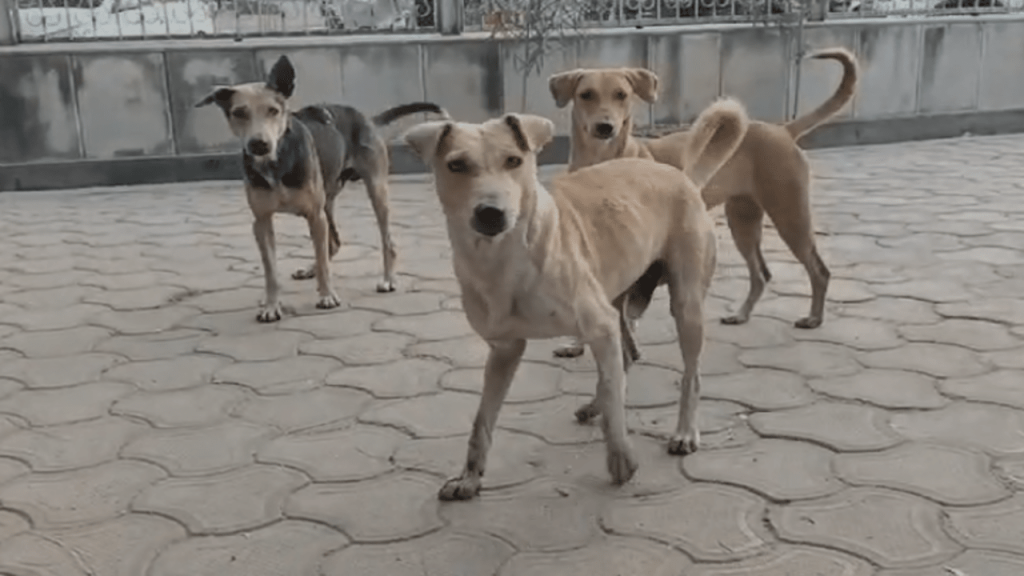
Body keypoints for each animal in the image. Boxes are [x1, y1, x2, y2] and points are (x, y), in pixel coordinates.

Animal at [197, 53, 446, 319]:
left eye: (273, 111)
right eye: (239, 112)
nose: (259, 144)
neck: (277, 162)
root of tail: (365, 118)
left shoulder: (314, 215)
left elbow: (325, 262)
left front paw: (327, 296)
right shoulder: (262, 222)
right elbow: (271, 271)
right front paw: (271, 306)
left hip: (374, 191)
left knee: (386, 241)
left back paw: (388, 279)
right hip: (327, 201)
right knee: (333, 244)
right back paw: (311, 269)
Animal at [403, 98, 749, 498]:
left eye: (513, 161)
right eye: (456, 165)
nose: (491, 213)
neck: (504, 260)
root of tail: (683, 178)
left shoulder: (598, 324)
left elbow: (616, 403)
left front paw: (620, 459)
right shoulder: (504, 349)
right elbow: (482, 420)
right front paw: (470, 477)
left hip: (685, 304)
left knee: (687, 375)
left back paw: (684, 432)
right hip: (617, 300)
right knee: (625, 357)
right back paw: (597, 404)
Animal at [548, 47, 860, 356]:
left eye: (621, 95)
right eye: (586, 94)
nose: (605, 127)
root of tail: (782, 130)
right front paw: (577, 345)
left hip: (790, 216)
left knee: (819, 271)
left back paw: (814, 317)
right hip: (742, 222)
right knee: (761, 273)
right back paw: (741, 314)